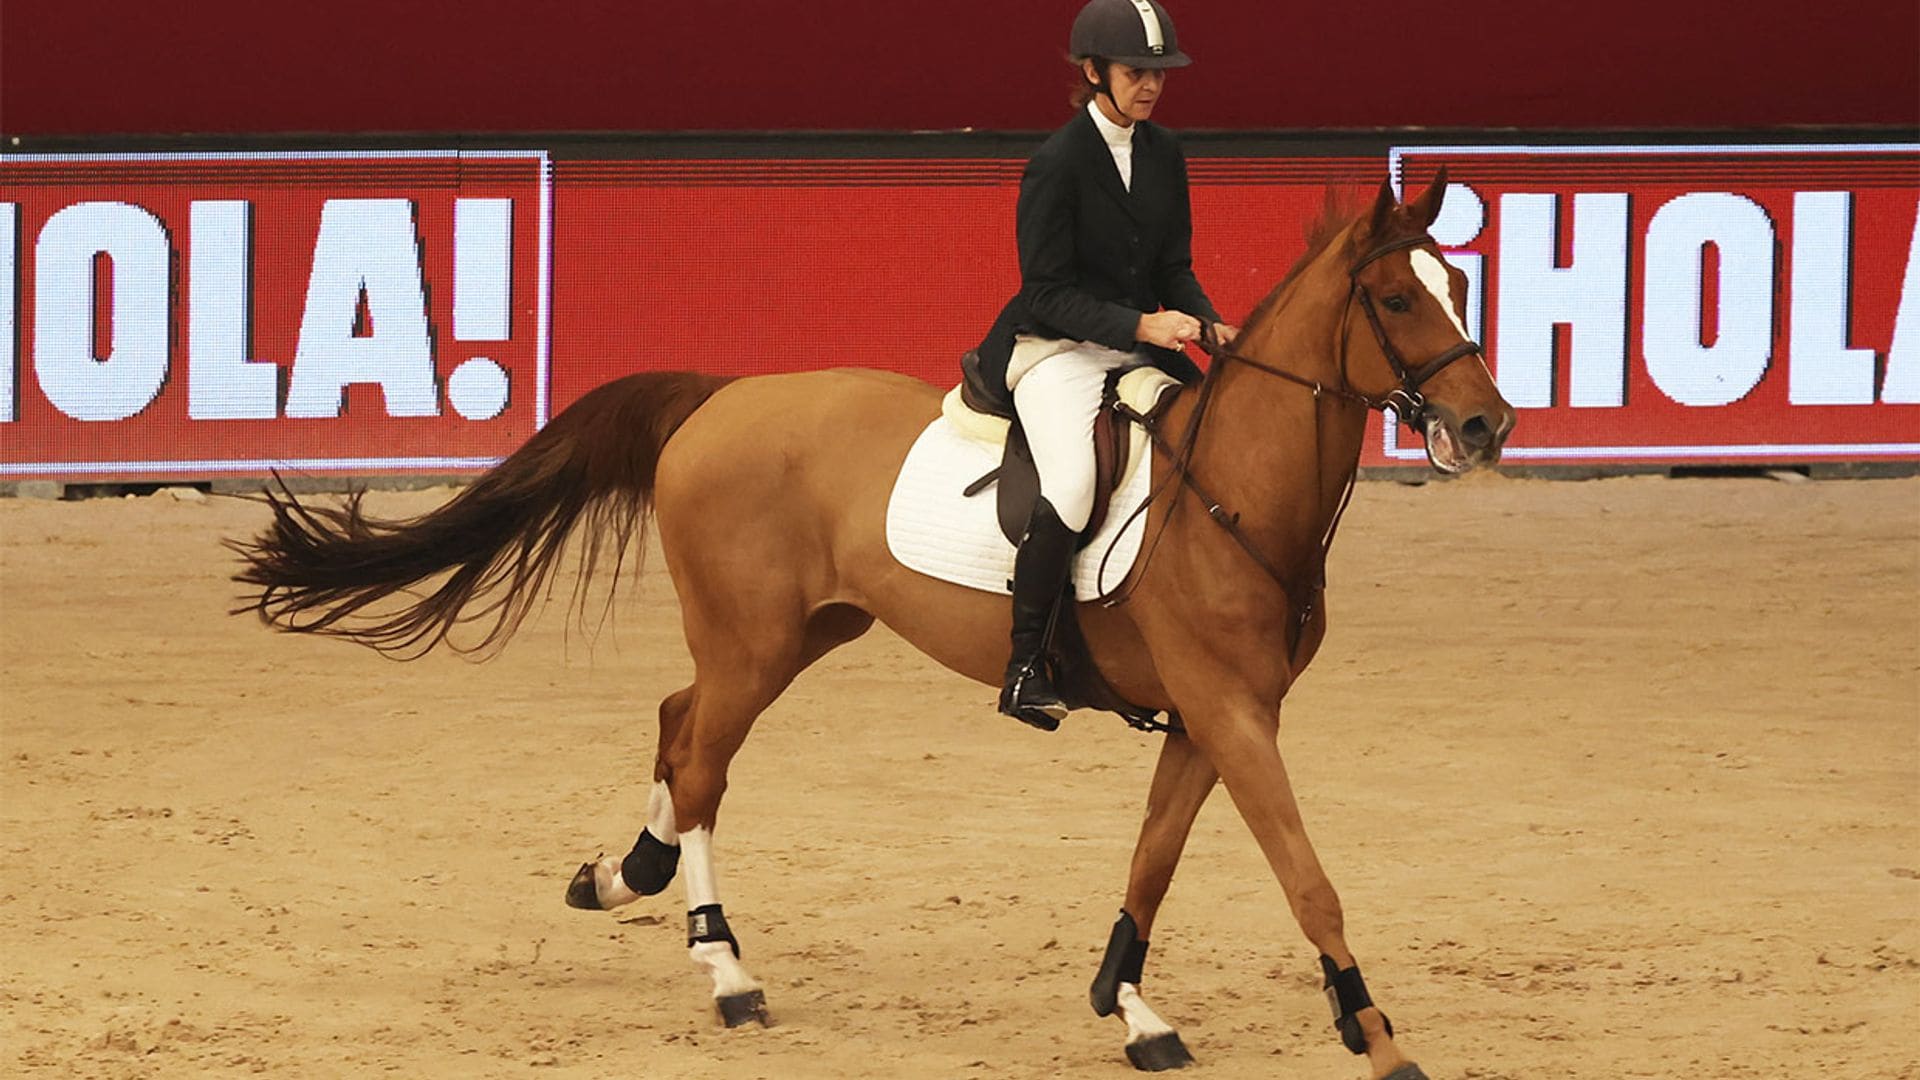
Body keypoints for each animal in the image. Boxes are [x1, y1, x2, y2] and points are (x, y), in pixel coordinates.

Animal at [228, 171, 1512, 1068]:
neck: (1231, 492)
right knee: (701, 759)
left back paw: (624, 876)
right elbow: (1307, 878)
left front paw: (1133, 1008)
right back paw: (723, 968)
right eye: (1398, 296)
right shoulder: (1230, 713)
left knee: (678, 723)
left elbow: (1154, 858)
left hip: (796, 632)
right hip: (753, 641)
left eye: (1458, 287)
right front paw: (1379, 1040)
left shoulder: (1209, 721)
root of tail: (722, 397)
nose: (1487, 426)